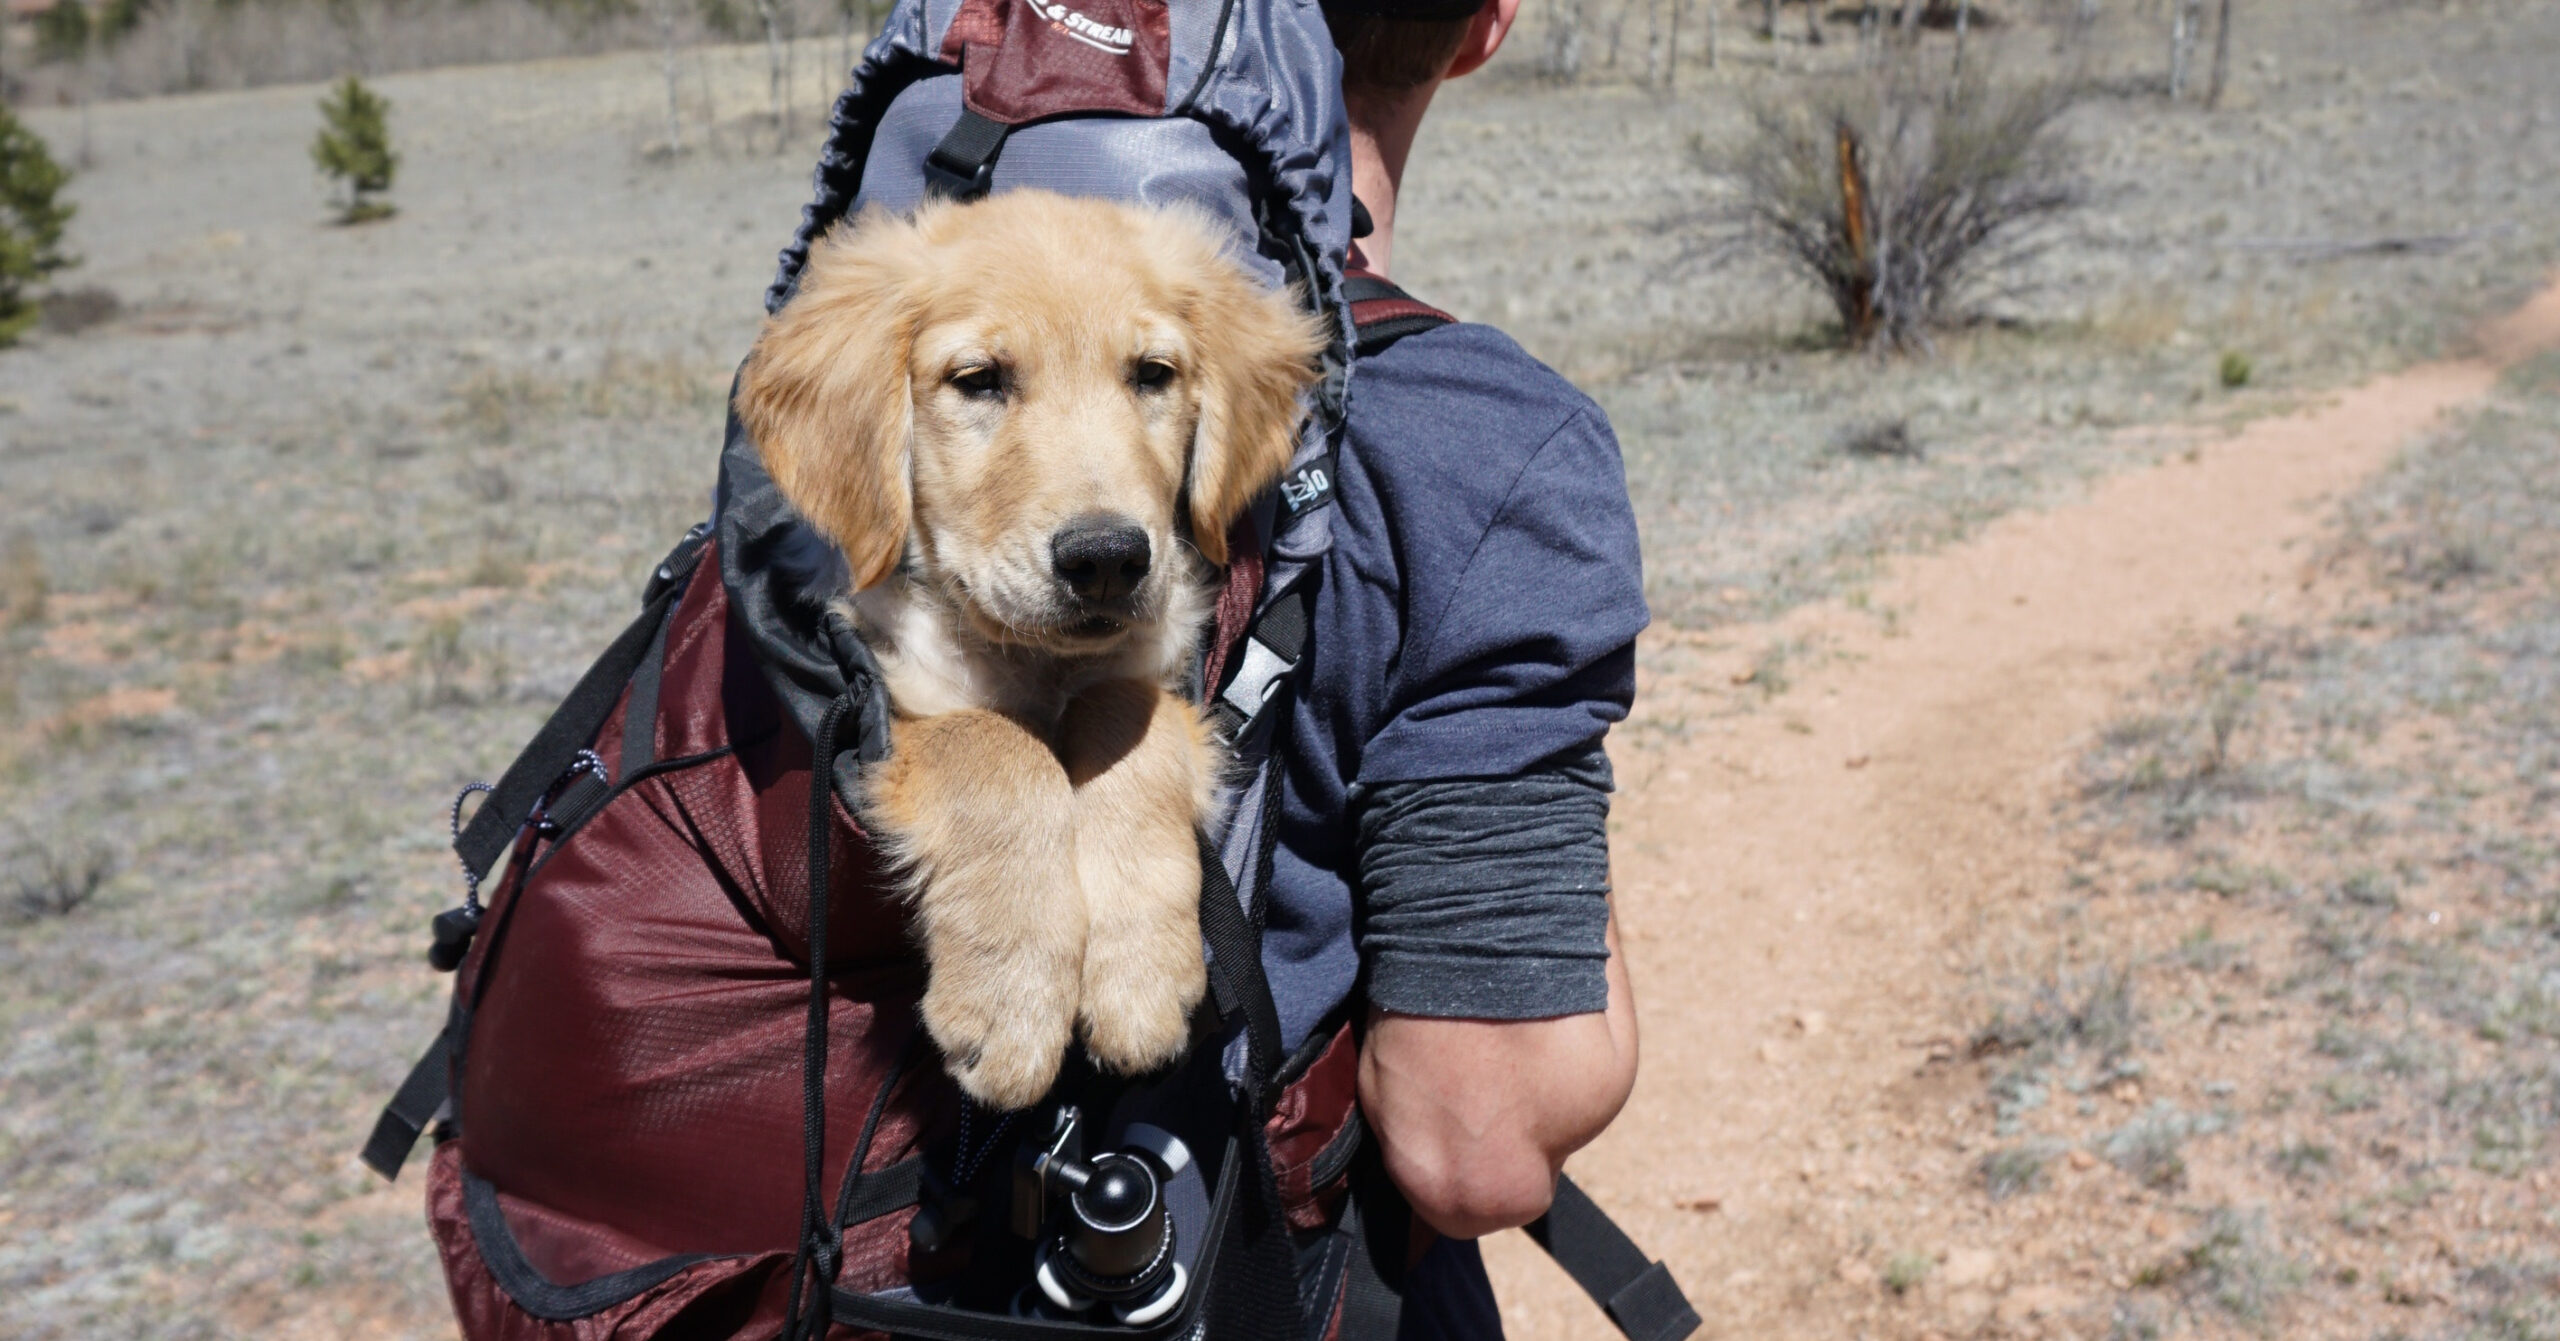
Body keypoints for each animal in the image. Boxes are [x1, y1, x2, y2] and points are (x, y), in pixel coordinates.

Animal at [727, 190, 1310, 1110]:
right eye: (979, 381)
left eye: (1152, 374)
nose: (1107, 559)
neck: (1037, 662)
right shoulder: (889, 701)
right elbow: (997, 747)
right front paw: (1011, 999)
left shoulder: (1160, 671)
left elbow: (1124, 717)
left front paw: (1137, 971)